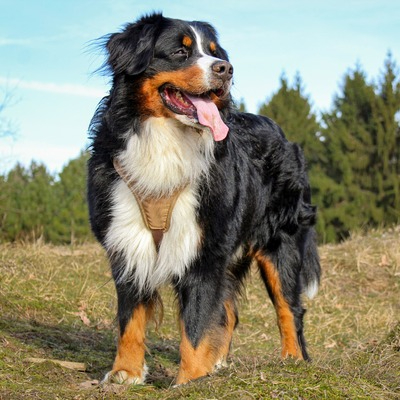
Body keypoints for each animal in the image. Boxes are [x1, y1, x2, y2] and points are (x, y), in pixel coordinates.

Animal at [86, 12, 318, 386]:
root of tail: (283, 134)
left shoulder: (204, 250)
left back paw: (293, 360)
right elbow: (130, 317)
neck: (165, 142)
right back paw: (219, 364)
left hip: (279, 241)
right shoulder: (127, 240)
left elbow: (195, 326)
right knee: (228, 311)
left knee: (289, 307)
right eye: (180, 52)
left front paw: (190, 381)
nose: (226, 68)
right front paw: (126, 372)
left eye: (213, 52)